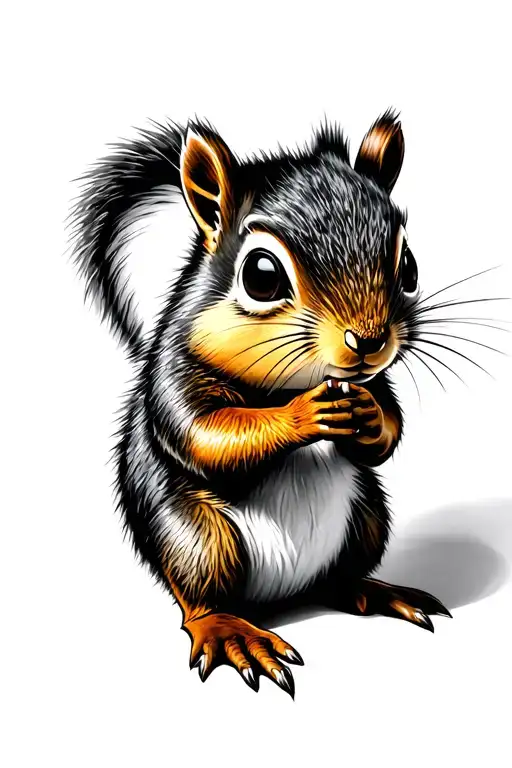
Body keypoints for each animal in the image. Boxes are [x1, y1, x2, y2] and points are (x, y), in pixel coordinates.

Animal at [71, 110, 451, 698]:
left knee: (341, 577)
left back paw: (375, 591)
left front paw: (369, 416)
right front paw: (303, 415)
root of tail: (285, 594)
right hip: (198, 540)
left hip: (366, 519)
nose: (369, 340)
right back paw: (230, 631)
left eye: (408, 265)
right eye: (262, 275)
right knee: (201, 598)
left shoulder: (370, 381)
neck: (297, 381)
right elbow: (204, 433)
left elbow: (388, 423)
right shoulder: (174, 373)